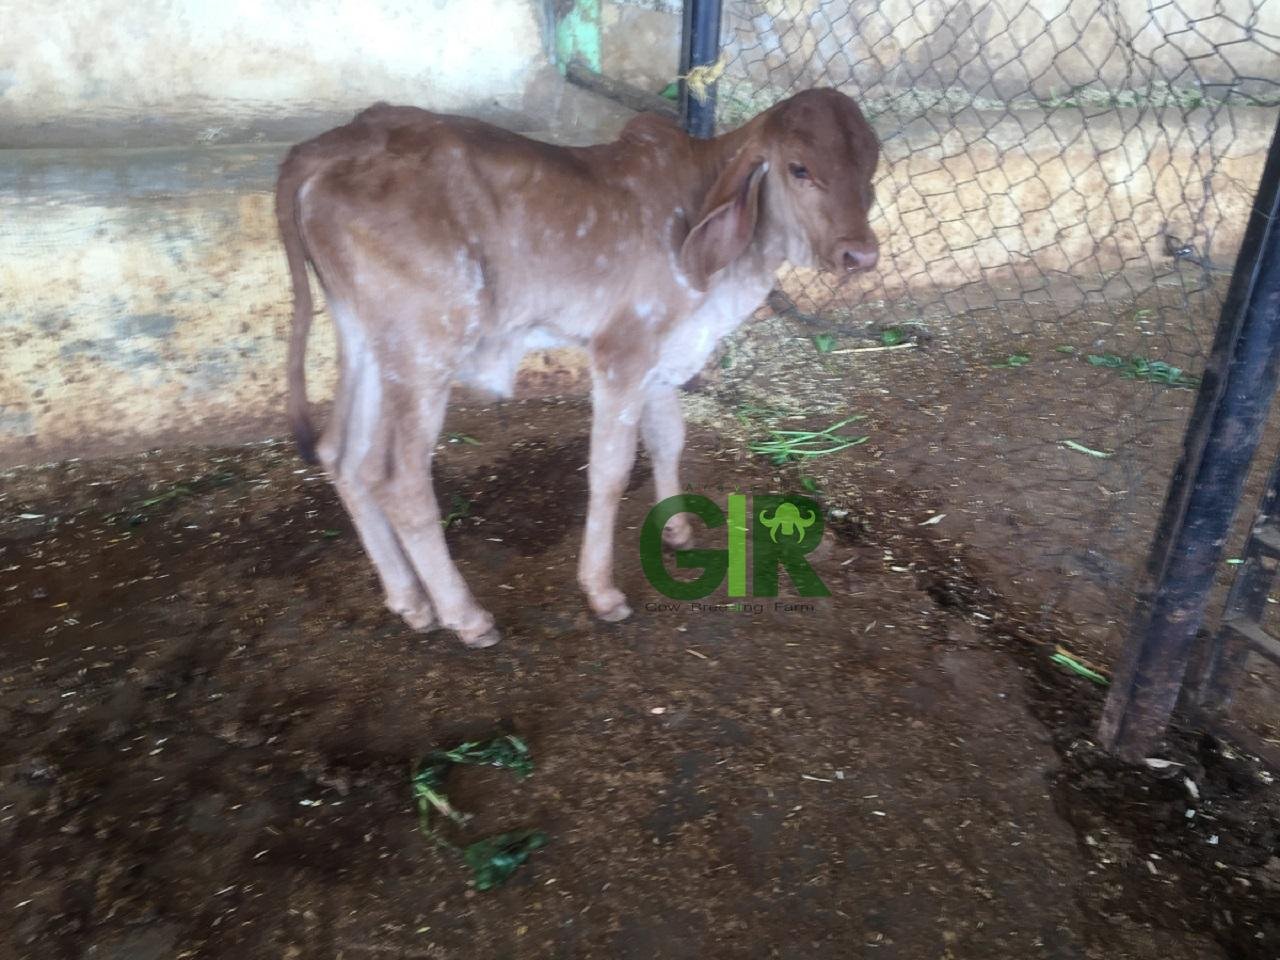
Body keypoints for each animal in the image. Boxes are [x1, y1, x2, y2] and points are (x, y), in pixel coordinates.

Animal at [274, 88, 879, 649]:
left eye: (870, 166)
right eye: (799, 168)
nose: (861, 255)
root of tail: (328, 145)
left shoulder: (663, 348)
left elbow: (669, 438)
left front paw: (678, 529)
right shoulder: (623, 349)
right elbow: (610, 471)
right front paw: (602, 591)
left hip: (365, 340)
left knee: (342, 455)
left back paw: (409, 600)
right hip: (426, 346)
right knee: (398, 480)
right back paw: (464, 616)